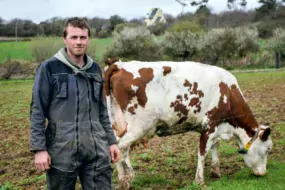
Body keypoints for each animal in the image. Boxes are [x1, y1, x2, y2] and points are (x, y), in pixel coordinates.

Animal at [103, 59, 272, 189]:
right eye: (267, 150)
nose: (264, 173)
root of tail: (119, 64)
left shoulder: (214, 127)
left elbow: (215, 145)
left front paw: (216, 170)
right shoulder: (210, 124)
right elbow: (203, 152)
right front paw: (199, 181)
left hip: (117, 124)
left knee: (116, 147)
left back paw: (122, 178)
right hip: (139, 125)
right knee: (122, 147)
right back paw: (127, 179)